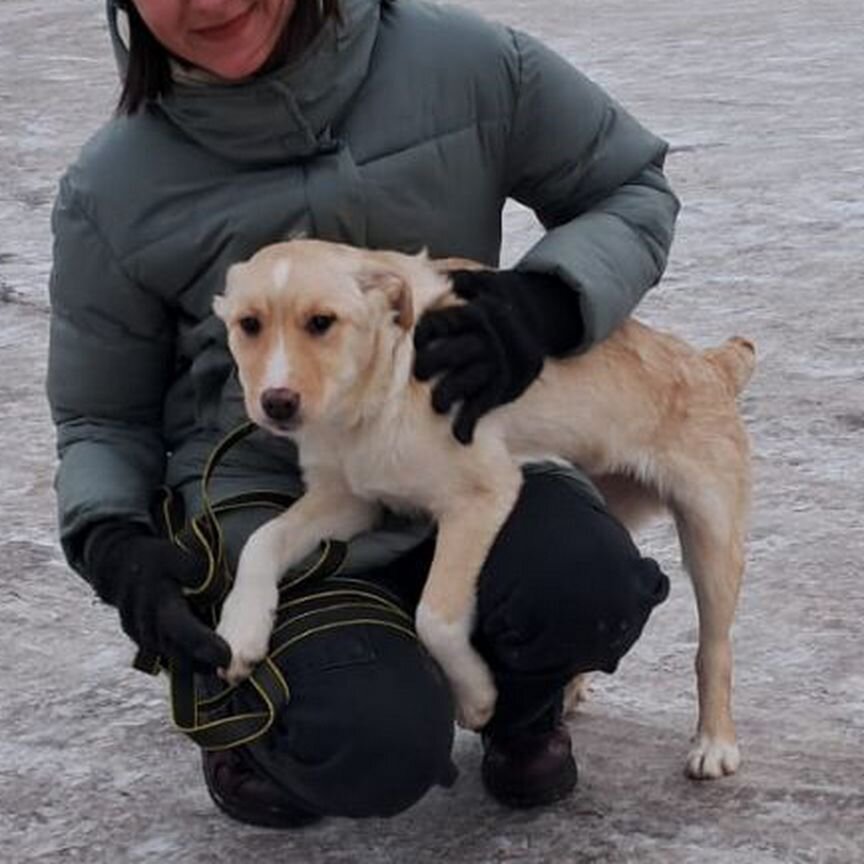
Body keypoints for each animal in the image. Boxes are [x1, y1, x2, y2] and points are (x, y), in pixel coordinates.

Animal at [213, 240, 752, 780]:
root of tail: (711, 364)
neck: (382, 387)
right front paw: (241, 629)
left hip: (711, 538)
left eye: (322, 322)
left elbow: (435, 616)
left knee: (715, 650)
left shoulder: (480, 497)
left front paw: (475, 696)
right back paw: (572, 689)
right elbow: (262, 540)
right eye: (249, 325)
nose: (277, 402)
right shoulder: (350, 500)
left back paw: (715, 743)